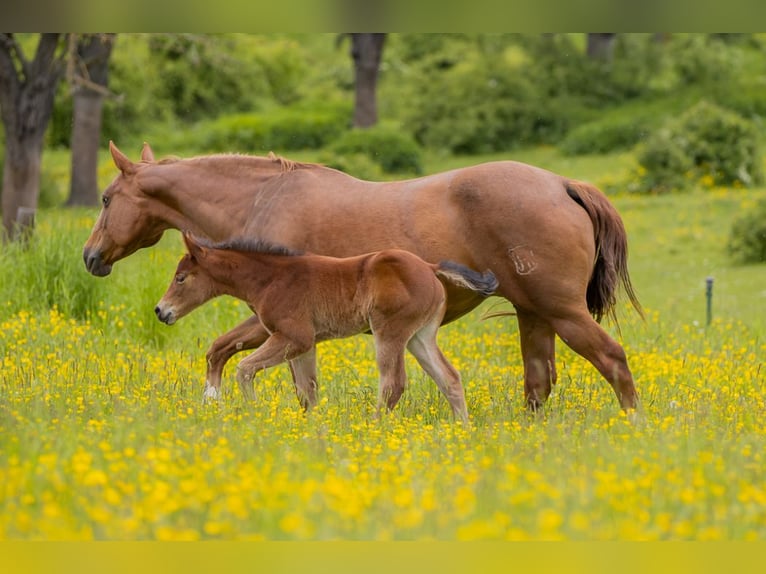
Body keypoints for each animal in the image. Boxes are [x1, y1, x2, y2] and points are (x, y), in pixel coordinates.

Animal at [155, 233, 498, 420]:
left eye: (181, 278)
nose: (160, 311)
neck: (271, 278)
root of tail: (429, 267)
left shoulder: (295, 337)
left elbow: (245, 369)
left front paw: (254, 413)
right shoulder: (303, 344)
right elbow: (307, 391)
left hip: (390, 331)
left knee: (393, 383)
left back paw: (373, 428)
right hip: (420, 336)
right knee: (449, 378)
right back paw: (463, 431)